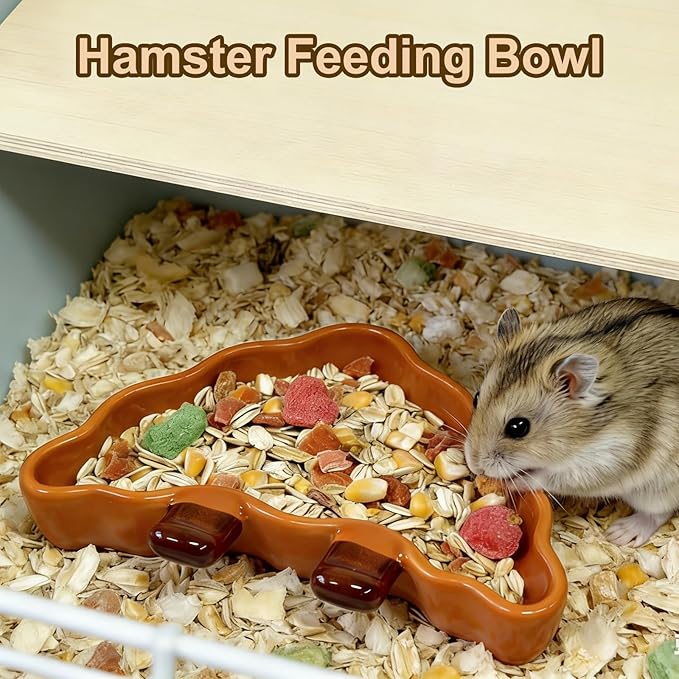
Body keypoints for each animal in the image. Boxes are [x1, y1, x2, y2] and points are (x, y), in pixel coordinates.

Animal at [463, 297, 679, 548]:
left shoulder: (604, 461)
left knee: (658, 513)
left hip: (658, 489)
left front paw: (511, 482)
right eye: (476, 397)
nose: (474, 466)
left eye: (518, 427)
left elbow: (544, 477)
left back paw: (619, 534)